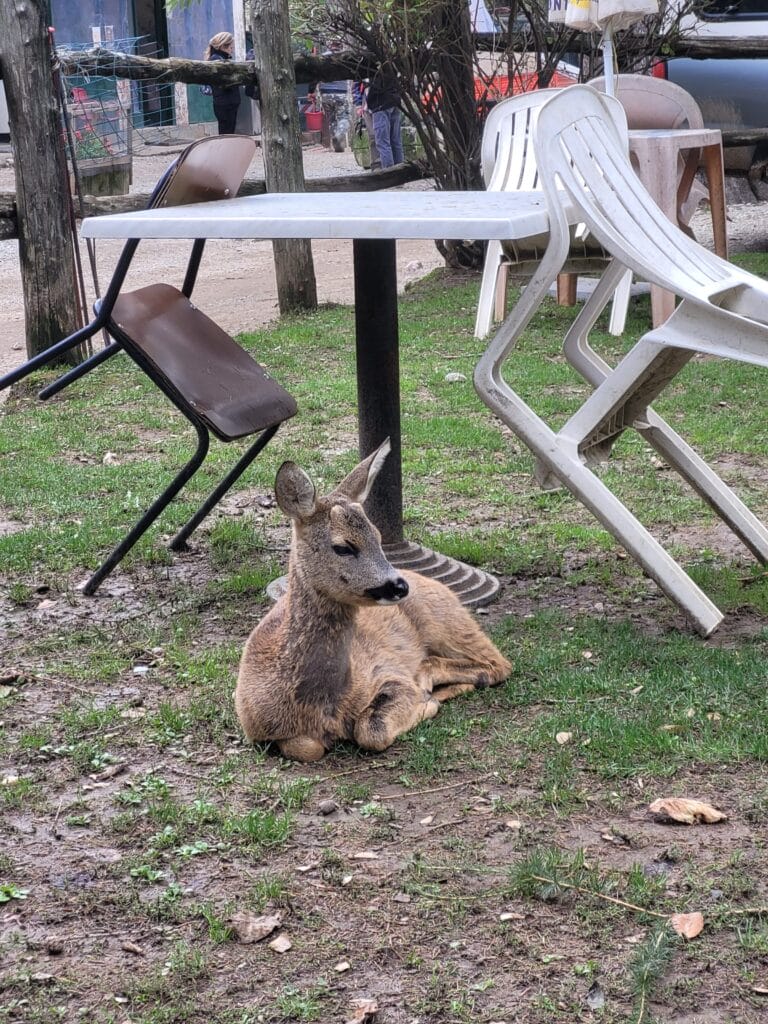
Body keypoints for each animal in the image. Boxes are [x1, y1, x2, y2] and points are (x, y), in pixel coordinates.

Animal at [234, 440, 512, 761]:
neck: (320, 705)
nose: (399, 586)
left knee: (498, 662)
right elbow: (306, 746)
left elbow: (370, 730)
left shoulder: (387, 672)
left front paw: (425, 703)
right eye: (343, 547)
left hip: (447, 619)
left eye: (379, 537)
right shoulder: (255, 726)